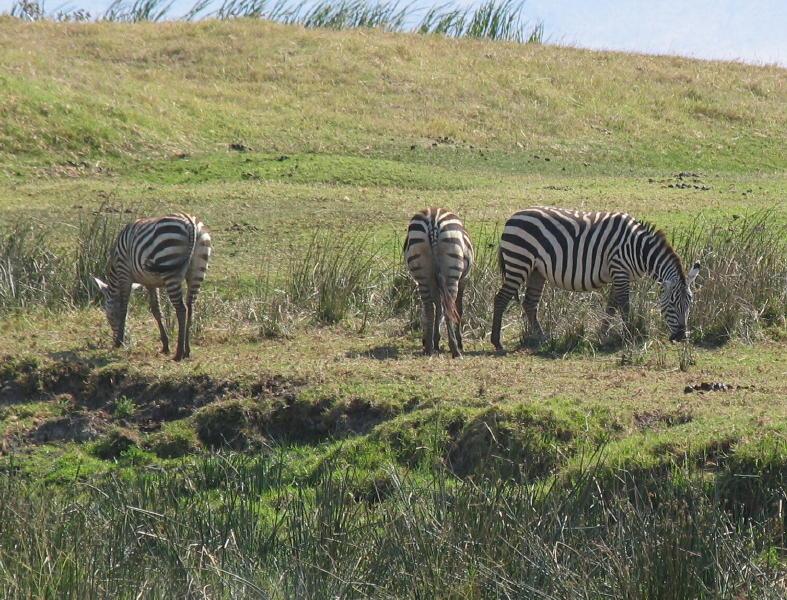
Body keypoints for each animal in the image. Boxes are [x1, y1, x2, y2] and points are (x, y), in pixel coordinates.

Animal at [94, 212, 212, 360]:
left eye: (108, 315)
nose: (117, 338)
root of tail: (190, 222)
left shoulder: (124, 274)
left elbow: (124, 308)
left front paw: (119, 342)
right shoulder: (150, 283)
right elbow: (156, 310)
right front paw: (165, 345)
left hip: (170, 267)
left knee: (181, 309)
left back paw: (179, 353)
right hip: (198, 269)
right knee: (191, 306)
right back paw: (187, 350)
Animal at [406, 207, 474, 356]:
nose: (423, 340)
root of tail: (433, 221)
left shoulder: (434, 282)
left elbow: (438, 307)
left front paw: (435, 340)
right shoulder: (463, 280)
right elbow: (457, 309)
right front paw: (459, 342)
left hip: (422, 275)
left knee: (429, 309)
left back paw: (429, 348)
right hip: (452, 274)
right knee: (449, 310)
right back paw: (455, 349)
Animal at [492, 205, 700, 352]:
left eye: (690, 303)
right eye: (672, 304)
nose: (681, 336)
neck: (639, 249)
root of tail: (512, 217)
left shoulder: (618, 274)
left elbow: (611, 306)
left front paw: (603, 334)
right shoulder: (620, 269)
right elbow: (624, 305)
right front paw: (629, 334)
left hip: (536, 270)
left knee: (529, 303)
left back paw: (542, 338)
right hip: (519, 261)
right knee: (501, 298)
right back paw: (497, 342)